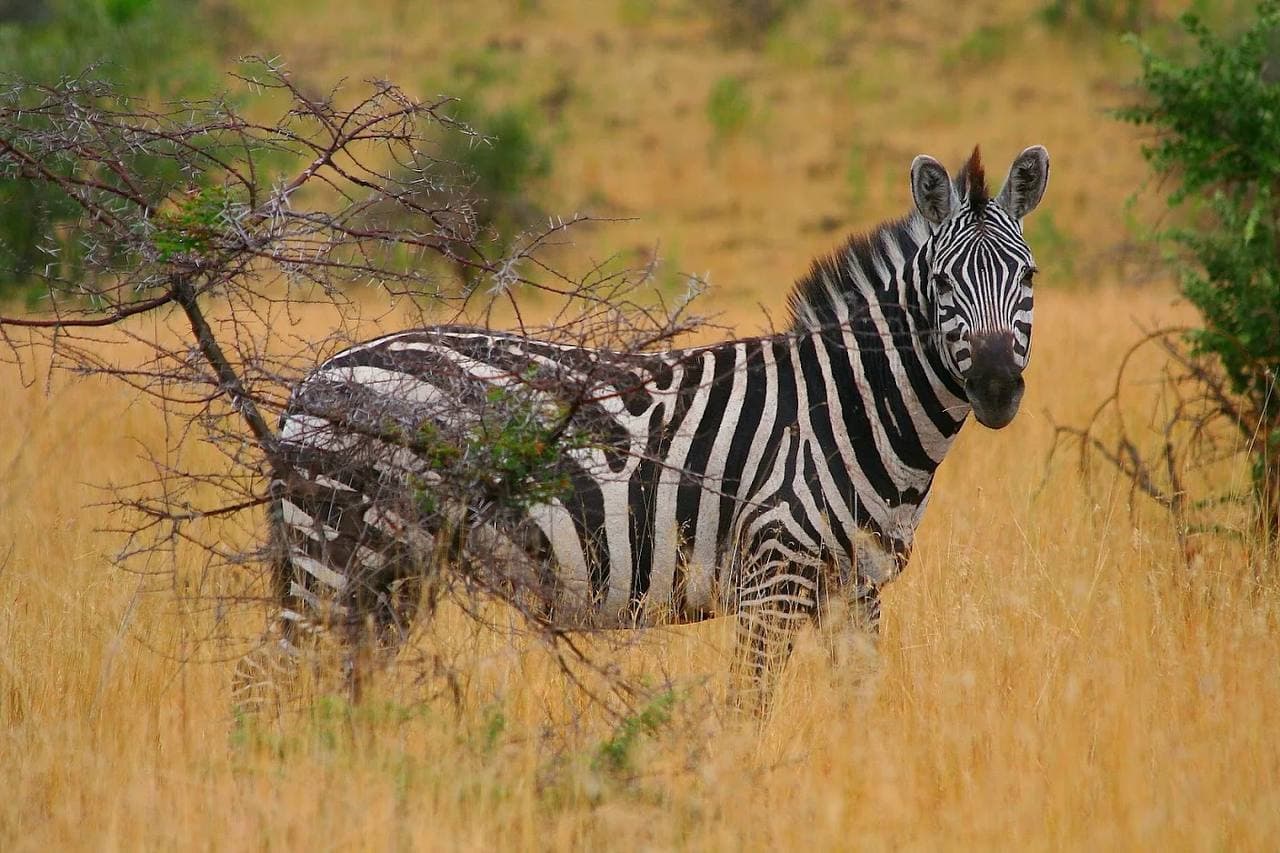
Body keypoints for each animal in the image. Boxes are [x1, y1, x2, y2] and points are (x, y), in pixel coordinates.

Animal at [237, 145, 1050, 711]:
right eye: (942, 283)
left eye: (1030, 277)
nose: (996, 387)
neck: (846, 407)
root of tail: (315, 377)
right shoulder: (774, 572)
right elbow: (748, 706)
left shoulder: (857, 585)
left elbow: (861, 704)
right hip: (336, 550)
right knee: (269, 676)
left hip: (395, 566)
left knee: (338, 677)